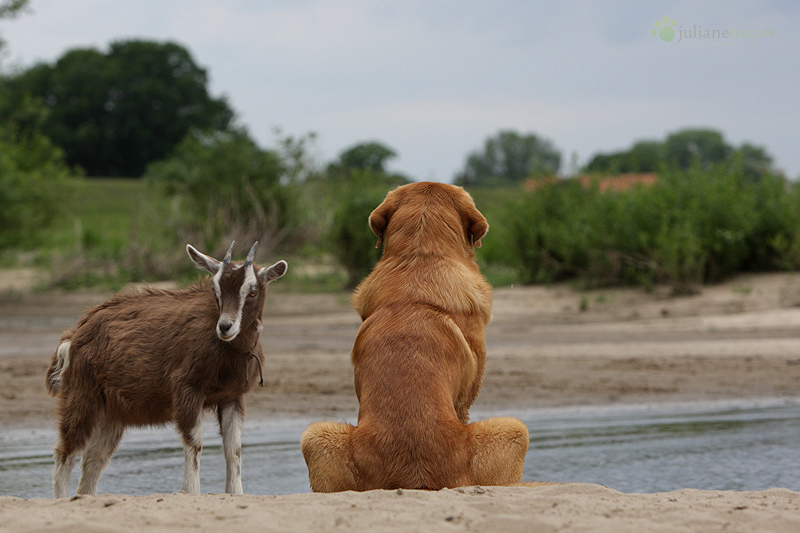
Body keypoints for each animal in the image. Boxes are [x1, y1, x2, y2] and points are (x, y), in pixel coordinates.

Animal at [44, 242, 288, 498]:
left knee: (94, 459)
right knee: (65, 452)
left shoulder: (232, 397)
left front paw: (235, 493)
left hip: (112, 412)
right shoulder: (187, 390)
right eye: (215, 289)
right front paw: (191, 491)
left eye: (252, 291)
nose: (225, 327)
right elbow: (195, 442)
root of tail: (74, 336)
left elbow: (234, 448)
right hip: (81, 395)